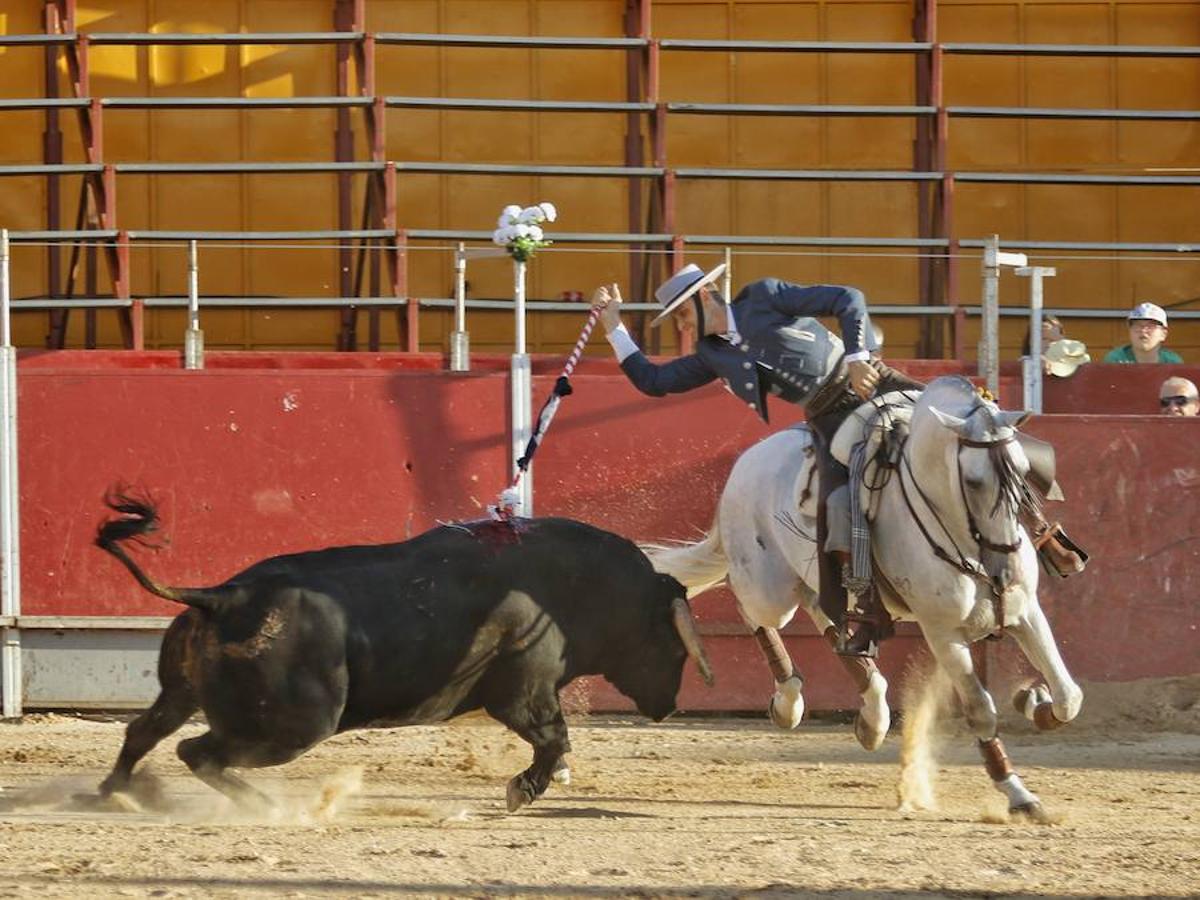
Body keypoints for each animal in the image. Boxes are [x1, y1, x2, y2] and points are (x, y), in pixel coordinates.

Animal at [96, 496, 710, 816]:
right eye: (670, 642)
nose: (669, 707)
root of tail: (224, 595)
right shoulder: (525, 695)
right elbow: (556, 740)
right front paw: (520, 791)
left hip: (182, 692)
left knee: (145, 732)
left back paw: (113, 793)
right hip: (295, 726)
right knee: (196, 751)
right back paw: (267, 806)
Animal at [652, 376, 1084, 820]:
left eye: (1023, 470)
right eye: (974, 481)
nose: (1007, 570)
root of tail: (746, 462)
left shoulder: (1025, 612)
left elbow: (1069, 696)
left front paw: (1032, 699)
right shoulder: (942, 632)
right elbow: (981, 711)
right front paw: (1017, 793)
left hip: (819, 579)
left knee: (828, 618)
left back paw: (872, 717)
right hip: (767, 587)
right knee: (752, 610)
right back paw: (789, 702)